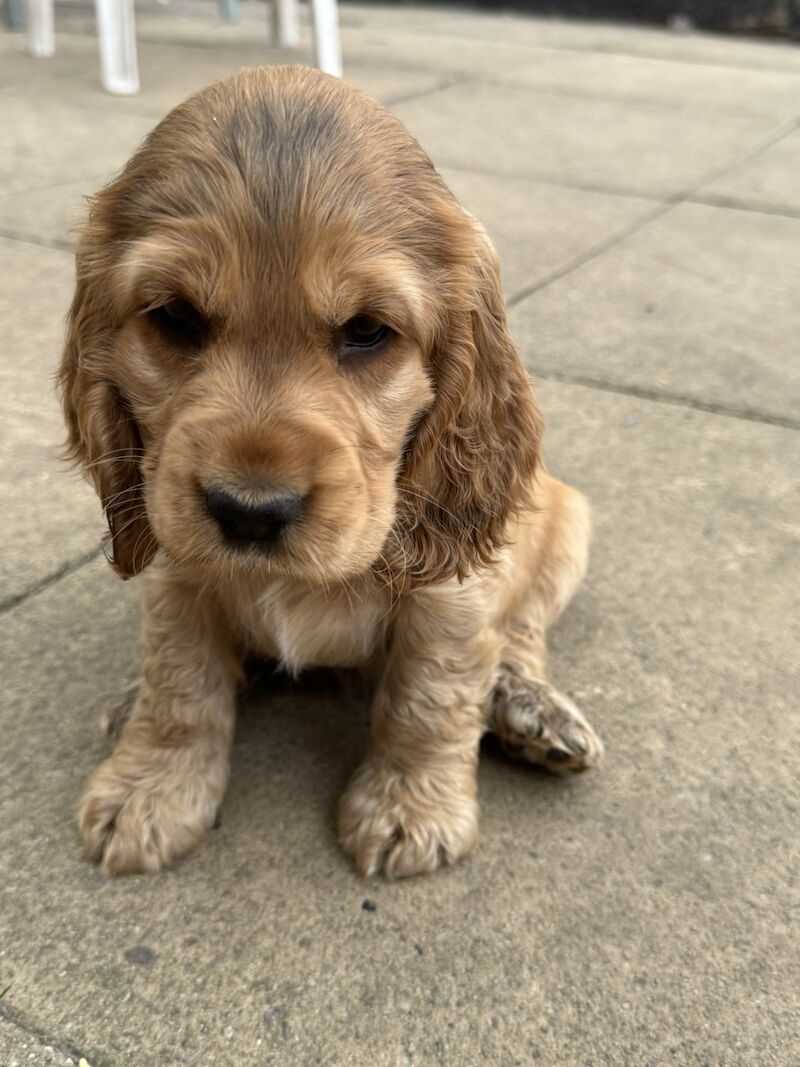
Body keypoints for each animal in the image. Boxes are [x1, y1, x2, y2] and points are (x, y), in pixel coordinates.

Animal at [61, 62, 601, 874]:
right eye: (176, 317)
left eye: (367, 331)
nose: (250, 512)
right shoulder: (174, 566)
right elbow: (179, 681)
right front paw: (150, 788)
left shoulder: (452, 588)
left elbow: (429, 695)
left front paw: (410, 808)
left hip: (565, 521)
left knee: (523, 634)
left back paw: (527, 707)